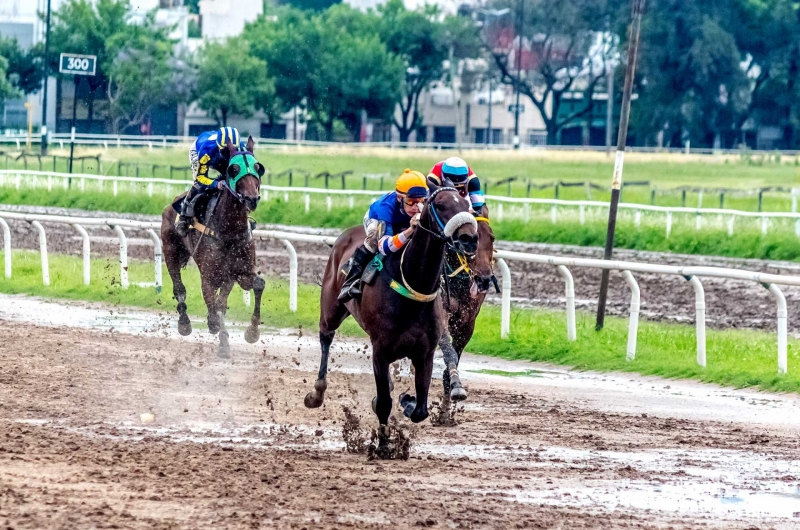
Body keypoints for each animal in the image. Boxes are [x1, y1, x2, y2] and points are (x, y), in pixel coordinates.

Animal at [159, 137, 266, 358]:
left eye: (257, 167)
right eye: (234, 169)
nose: (252, 198)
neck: (229, 229)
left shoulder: (237, 273)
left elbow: (255, 286)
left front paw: (251, 332)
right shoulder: (209, 275)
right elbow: (214, 305)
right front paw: (216, 329)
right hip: (170, 252)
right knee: (179, 288)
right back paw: (184, 323)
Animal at [304, 179, 482, 448]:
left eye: (467, 205)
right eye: (441, 205)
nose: (469, 238)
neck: (414, 285)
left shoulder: (425, 353)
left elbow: (420, 409)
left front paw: (407, 401)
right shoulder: (381, 350)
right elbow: (384, 404)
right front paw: (384, 446)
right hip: (332, 308)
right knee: (326, 336)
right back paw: (317, 392)